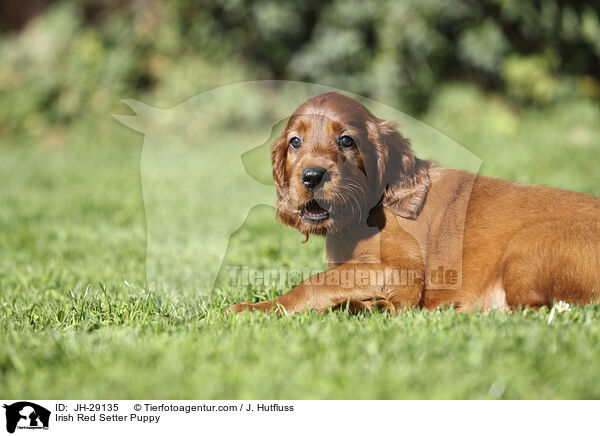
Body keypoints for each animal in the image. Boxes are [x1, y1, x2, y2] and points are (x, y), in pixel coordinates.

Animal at [227, 93, 600, 314]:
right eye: (295, 142)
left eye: (346, 140)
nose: (312, 176)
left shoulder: (402, 271)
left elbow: (317, 281)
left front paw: (254, 308)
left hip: (528, 244)